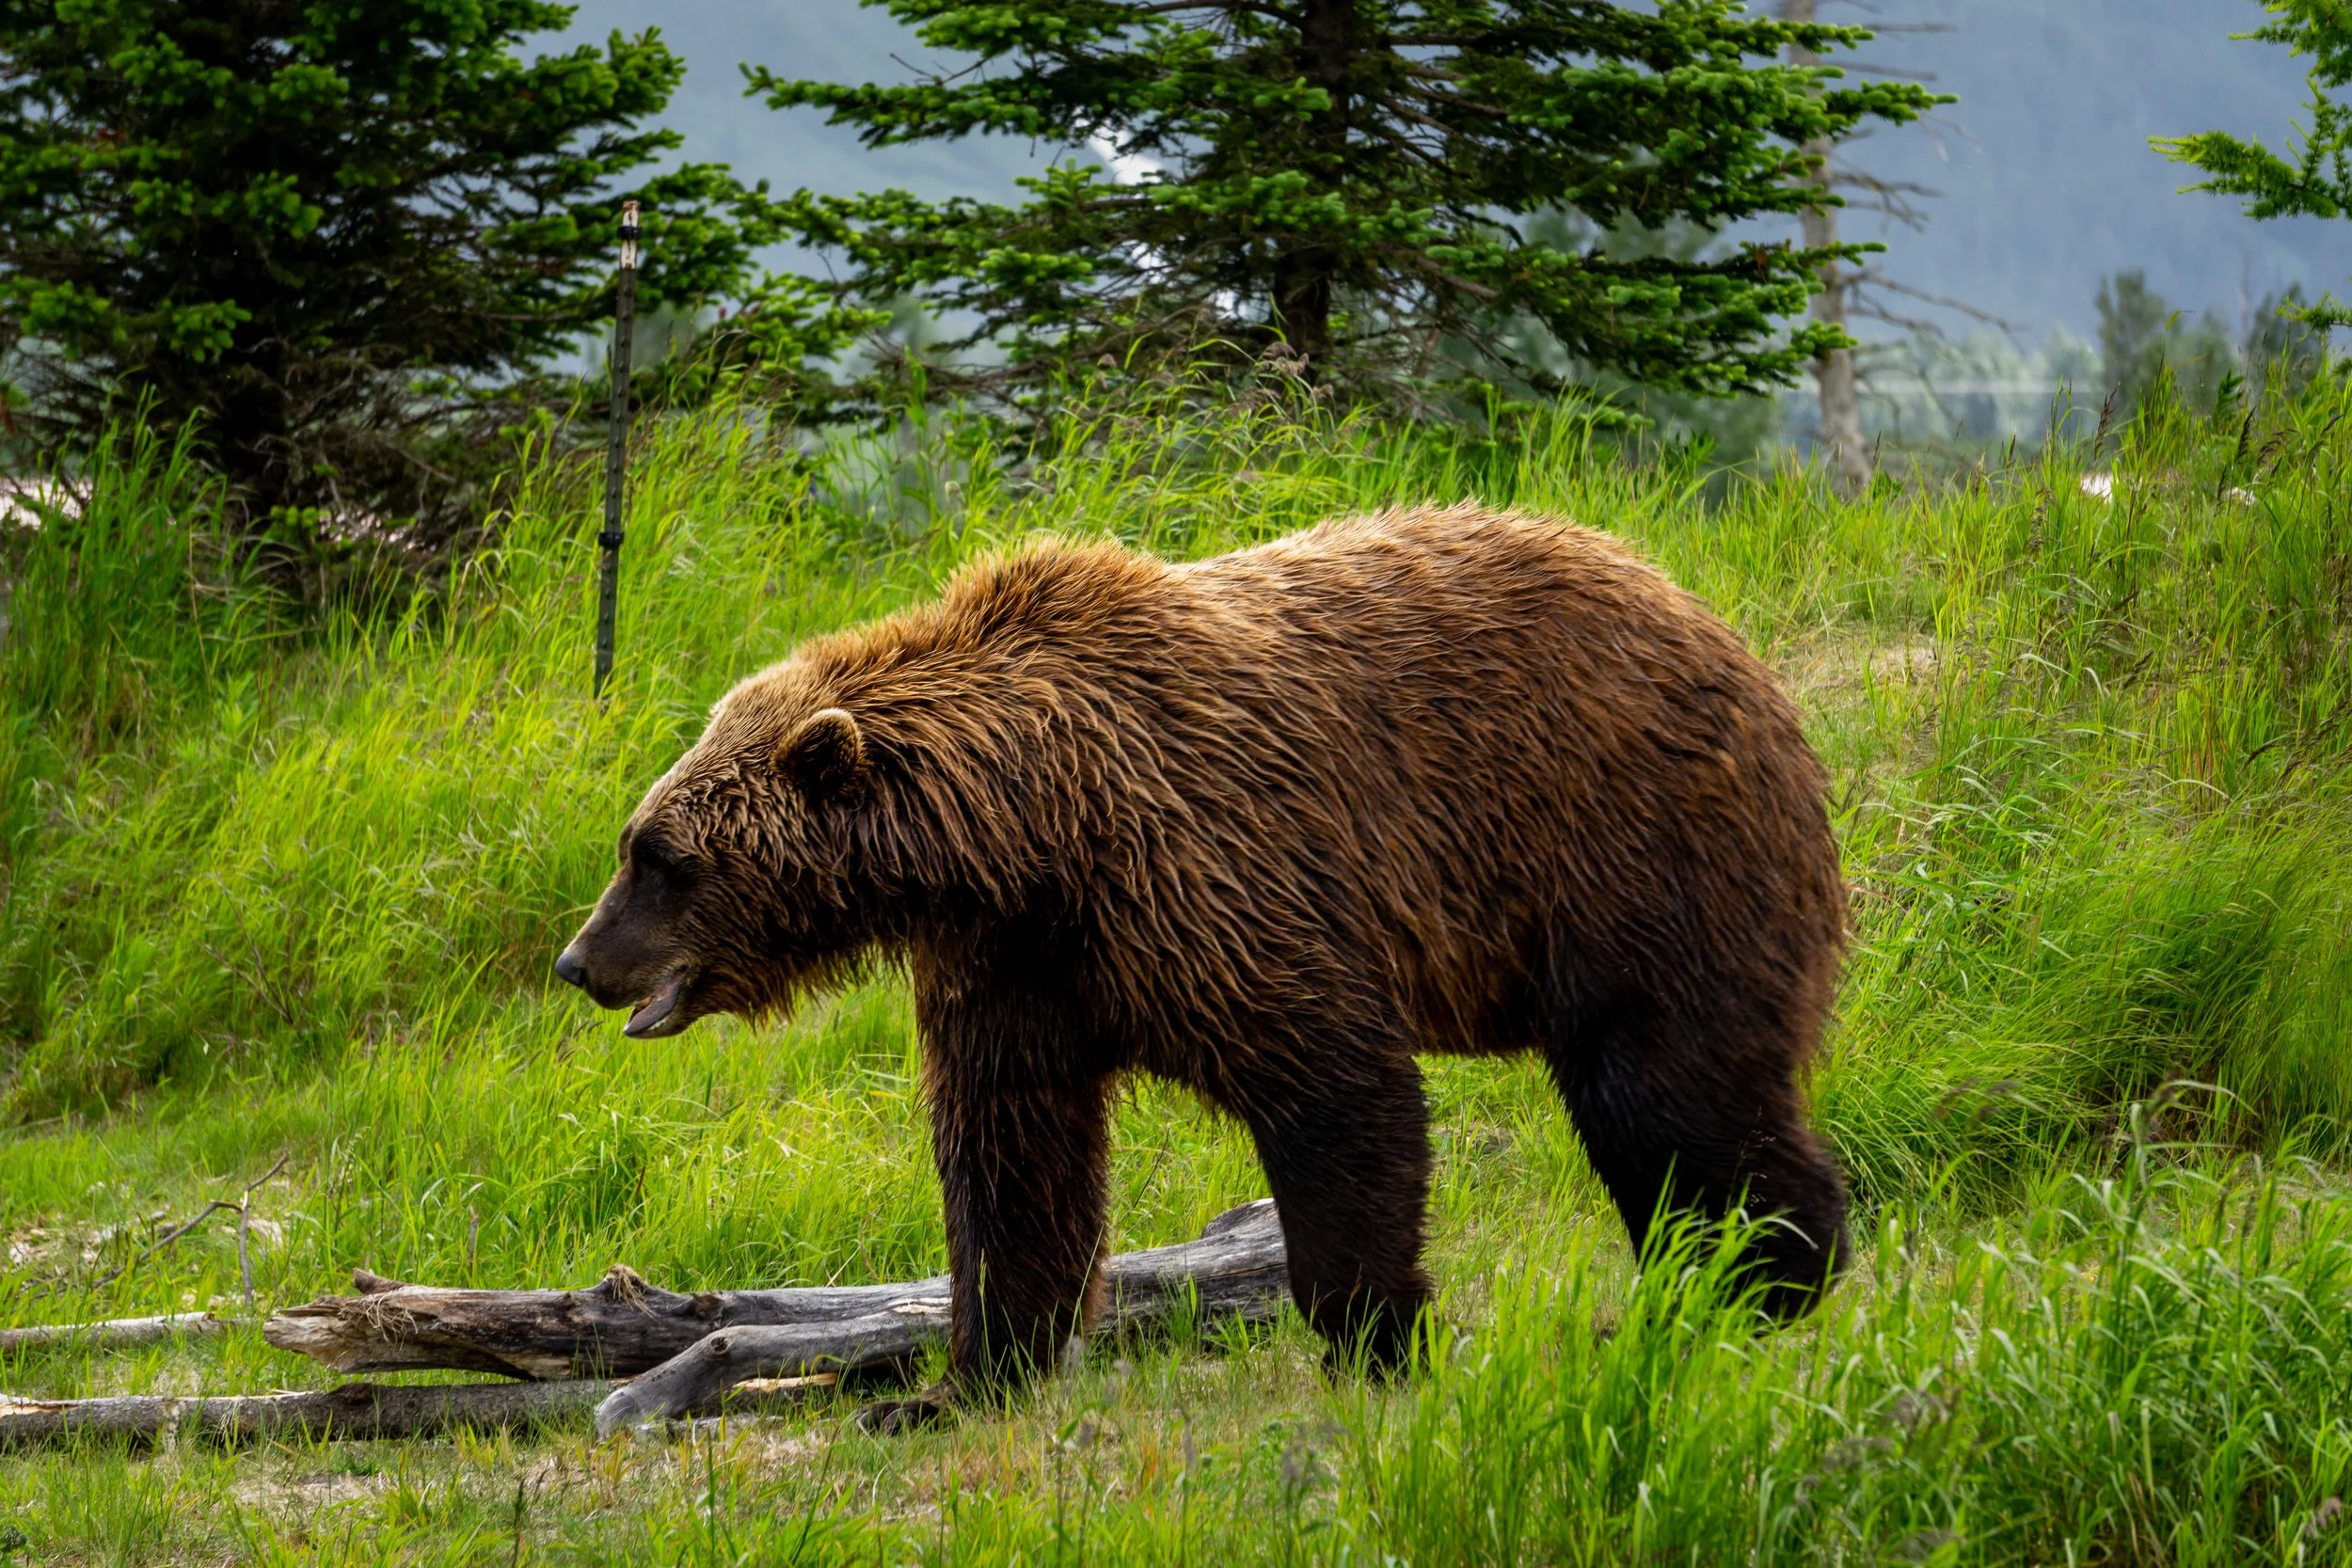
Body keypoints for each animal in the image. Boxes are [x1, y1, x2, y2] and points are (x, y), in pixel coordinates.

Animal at [556, 502, 1850, 1424]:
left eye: (661, 855)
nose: (578, 960)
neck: (1029, 830)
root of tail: (1719, 630)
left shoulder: (1212, 868)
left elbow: (1337, 1089)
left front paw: (1379, 1340)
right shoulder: (1018, 965)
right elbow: (1011, 1155)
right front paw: (951, 1385)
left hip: (1629, 851)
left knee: (1665, 1087)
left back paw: (1767, 1280)